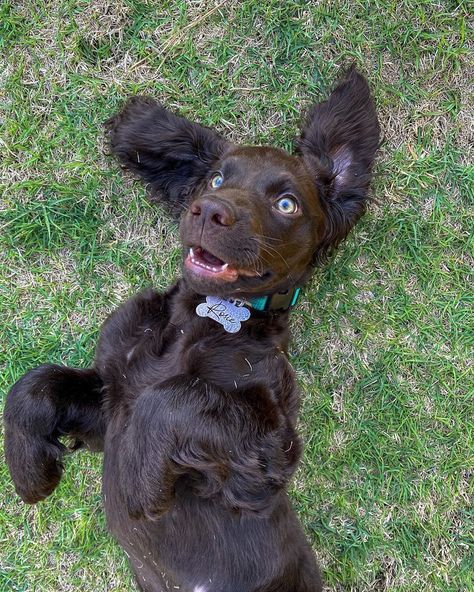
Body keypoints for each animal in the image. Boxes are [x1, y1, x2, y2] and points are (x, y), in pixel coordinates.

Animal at [3, 66, 380, 592]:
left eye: (287, 204)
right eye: (217, 177)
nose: (209, 210)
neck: (194, 319)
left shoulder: (269, 454)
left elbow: (175, 398)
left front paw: (137, 481)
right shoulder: (108, 401)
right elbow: (33, 384)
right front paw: (30, 470)